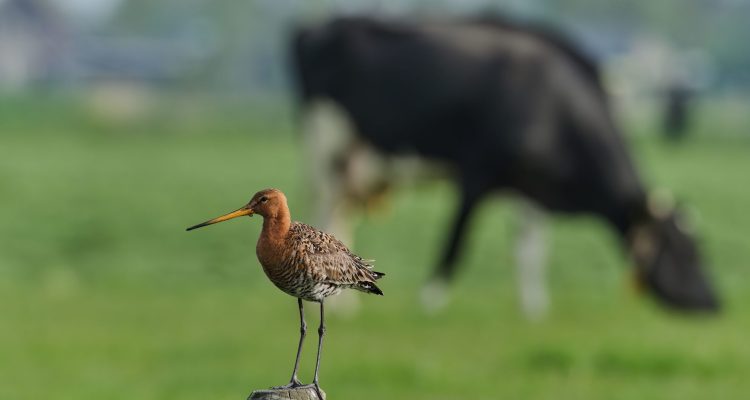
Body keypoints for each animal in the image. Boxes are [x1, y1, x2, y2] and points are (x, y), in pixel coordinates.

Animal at [290, 15, 720, 315]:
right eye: (686, 252)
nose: (715, 303)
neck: (549, 99)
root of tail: (314, 29)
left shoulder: (533, 183)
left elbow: (531, 247)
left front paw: (534, 309)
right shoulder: (476, 172)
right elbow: (456, 240)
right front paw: (430, 302)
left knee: (342, 217)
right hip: (328, 149)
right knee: (328, 212)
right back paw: (340, 304)